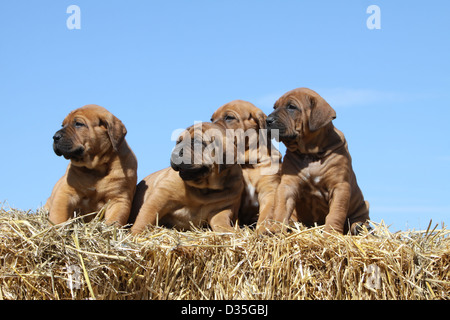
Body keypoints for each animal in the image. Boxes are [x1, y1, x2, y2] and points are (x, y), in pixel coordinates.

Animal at [211, 100, 282, 228]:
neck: (247, 163)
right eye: (211, 119)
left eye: (229, 117)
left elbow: (267, 213)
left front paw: (263, 229)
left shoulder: (269, 190)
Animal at [264, 87, 370, 235]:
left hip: (363, 205)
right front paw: (276, 229)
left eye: (291, 107)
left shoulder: (339, 186)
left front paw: (331, 232)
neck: (311, 153)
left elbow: (336, 213)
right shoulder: (287, 185)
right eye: (274, 107)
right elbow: (281, 208)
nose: (267, 120)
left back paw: (360, 227)